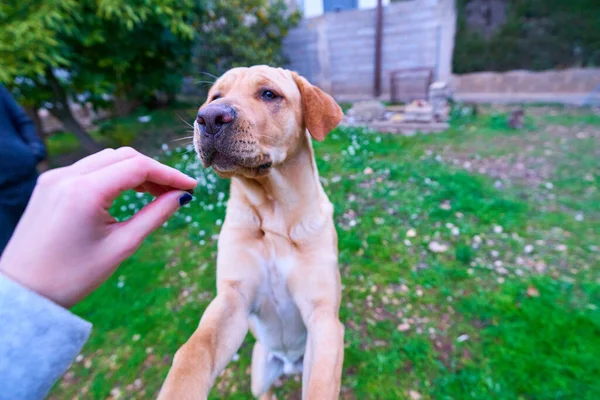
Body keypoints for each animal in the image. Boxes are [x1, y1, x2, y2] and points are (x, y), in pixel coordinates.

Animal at [158, 66, 346, 400]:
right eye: (215, 96)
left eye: (269, 94)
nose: (209, 118)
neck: (274, 214)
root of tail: (289, 364)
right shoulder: (233, 298)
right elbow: (193, 351)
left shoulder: (323, 317)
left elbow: (321, 385)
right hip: (260, 376)